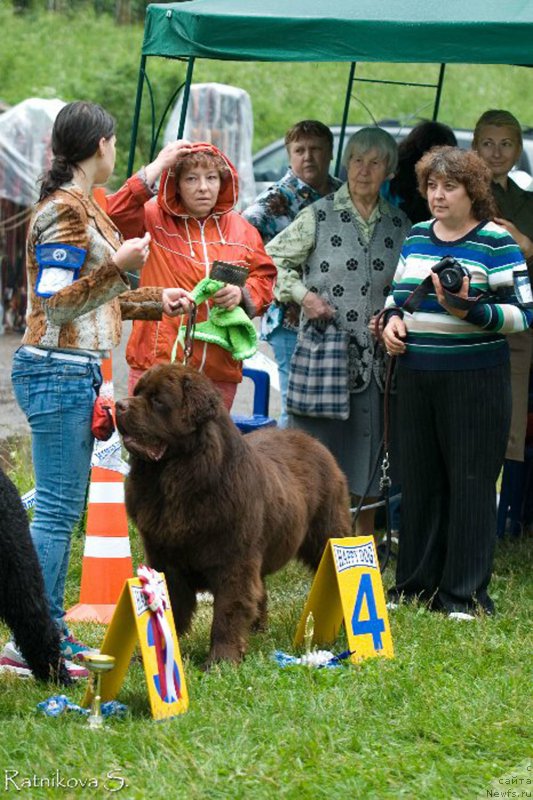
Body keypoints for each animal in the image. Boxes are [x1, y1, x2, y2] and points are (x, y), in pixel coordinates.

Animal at [115, 362, 350, 664]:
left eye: (157, 401)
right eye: (137, 392)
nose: (119, 405)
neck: (177, 481)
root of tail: (314, 442)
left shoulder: (234, 560)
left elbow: (227, 610)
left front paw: (222, 660)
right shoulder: (164, 556)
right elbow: (170, 606)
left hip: (326, 536)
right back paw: (257, 629)